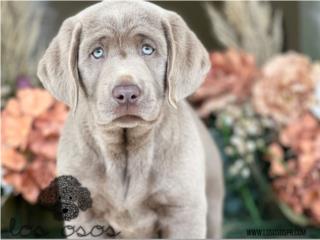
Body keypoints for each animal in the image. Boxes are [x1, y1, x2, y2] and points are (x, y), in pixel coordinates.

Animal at [37, 0, 224, 238]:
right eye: (97, 53)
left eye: (147, 49)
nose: (126, 93)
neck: (126, 153)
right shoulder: (85, 217)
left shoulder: (184, 211)